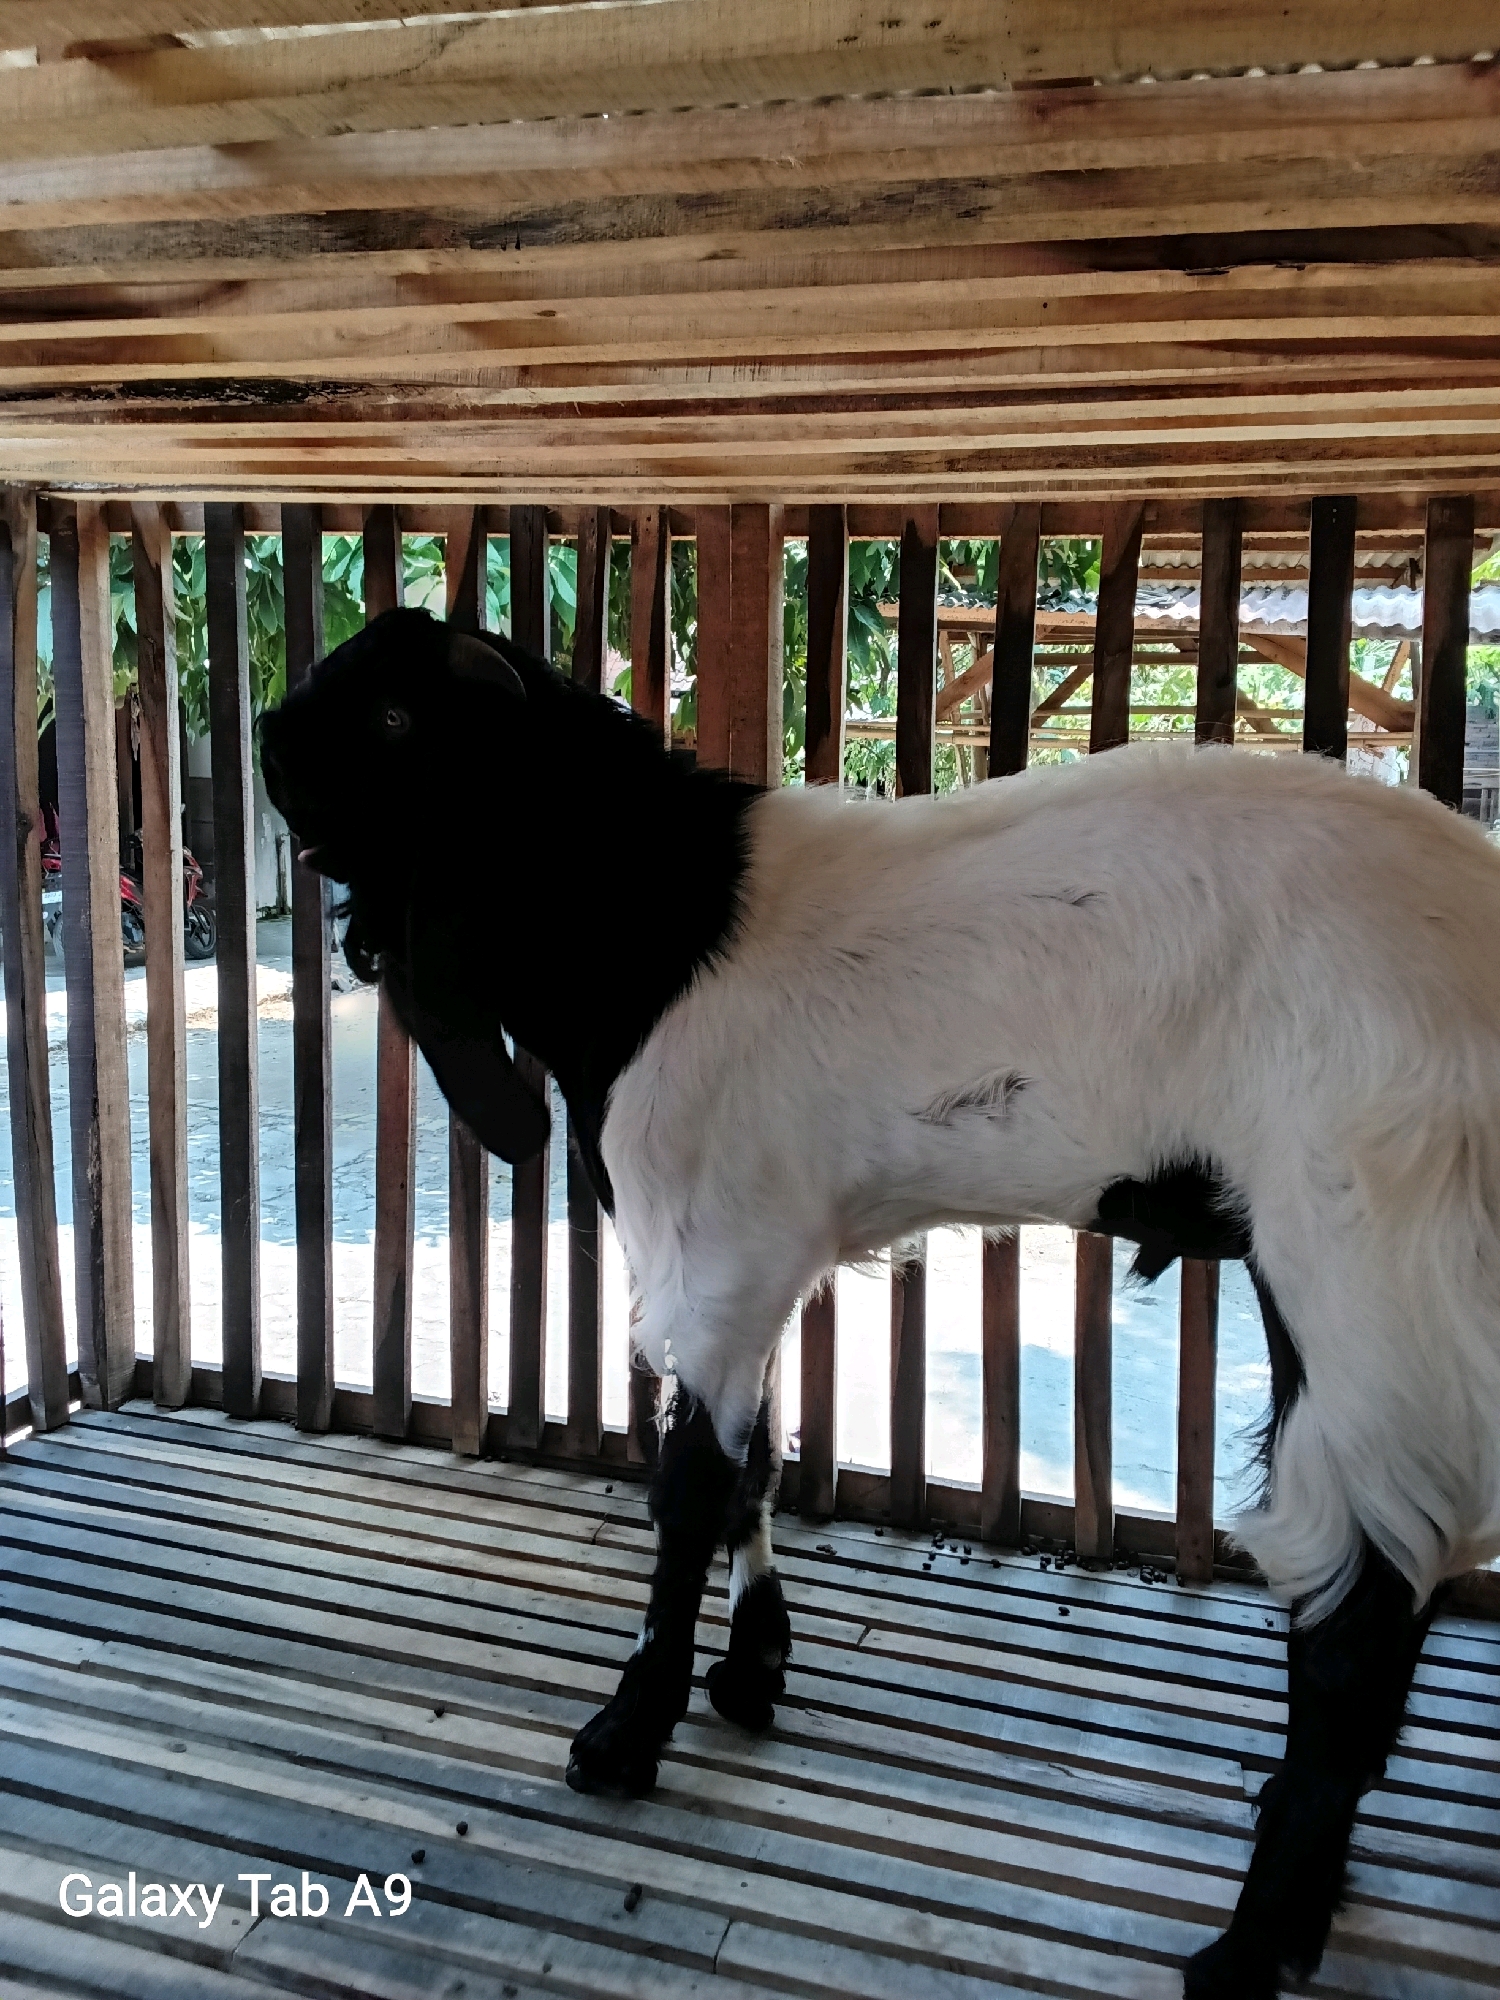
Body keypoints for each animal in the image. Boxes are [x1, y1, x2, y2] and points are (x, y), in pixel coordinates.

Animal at [260, 607, 1500, 2000]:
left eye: (394, 718)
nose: (262, 735)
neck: (652, 928)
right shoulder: (763, 1252)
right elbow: (758, 1461)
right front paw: (754, 1667)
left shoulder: (714, 1244)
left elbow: (691, 1486)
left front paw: (629, 1730)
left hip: (1372, 1243)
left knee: (1367, 1597)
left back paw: (1247, 1943)